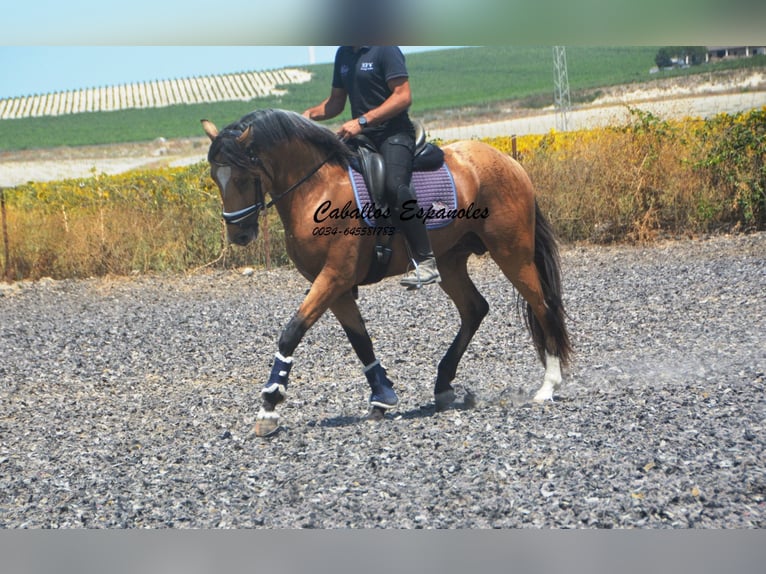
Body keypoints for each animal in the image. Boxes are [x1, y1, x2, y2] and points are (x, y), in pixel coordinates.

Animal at [201, 108, 571, 437]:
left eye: (243, 176)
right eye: (215, 178)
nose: (238, 234)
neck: (316, 188)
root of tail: (508, 161)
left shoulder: (334, 276)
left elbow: (292, 332)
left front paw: (269, 407)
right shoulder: (336, 286)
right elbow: (360, 340)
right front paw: (382, 398)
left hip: (511, 252)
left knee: (543, 306)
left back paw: (547, 387)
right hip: (450, 261)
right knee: (474, 309)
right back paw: (443, 385)